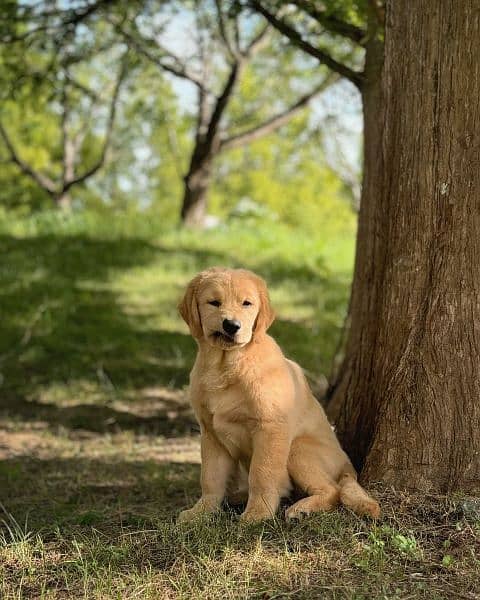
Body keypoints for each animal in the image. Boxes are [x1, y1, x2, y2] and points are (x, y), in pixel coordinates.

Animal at [176, 270, 378, 524]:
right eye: (214, 302)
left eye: (247, 303)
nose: (231, 325)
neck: (225, 366)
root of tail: (348, 467)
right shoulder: (211, 433)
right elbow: (210, 477)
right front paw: (202, 511)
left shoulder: (270, 428)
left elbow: (261, 473)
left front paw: (258, 513)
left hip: (297, 449)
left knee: (333, 491)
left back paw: (301, 508)